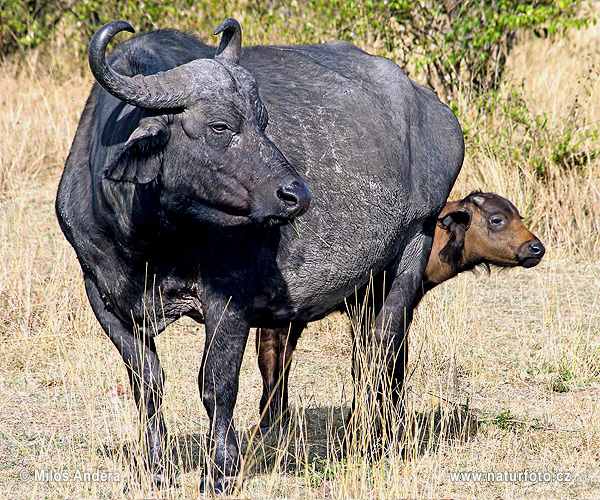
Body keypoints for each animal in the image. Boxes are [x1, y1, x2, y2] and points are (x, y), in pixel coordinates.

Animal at [55, 18, 464, 492]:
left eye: (264, 121)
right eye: (219, 126)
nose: (296, 194)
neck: (150, 236)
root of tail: (435, 112)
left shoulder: (229, 294)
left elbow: (216, 382)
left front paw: (220, 470)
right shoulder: (102, 294)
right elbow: (147, 383)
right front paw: (154, 467)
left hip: (413, 247)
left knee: (381, 350)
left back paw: (374, 441)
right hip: (366, 287)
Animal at [255, 193, 548, 436]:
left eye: (518, 216)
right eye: (497, 219)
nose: (536, 248)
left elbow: (396, 362)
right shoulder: (366, 310)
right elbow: (370, 365)